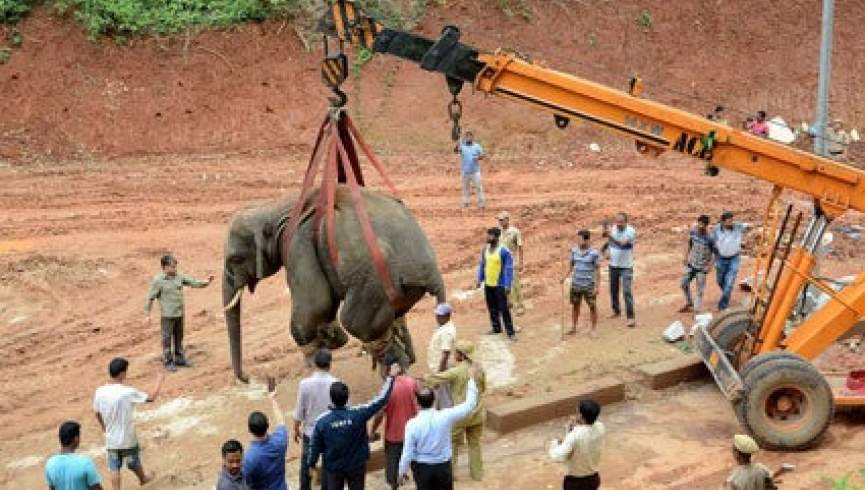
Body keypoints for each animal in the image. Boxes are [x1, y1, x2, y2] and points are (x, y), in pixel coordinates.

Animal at [223, 186, 446, 380]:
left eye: (235, 259)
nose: (247, 378)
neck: (274, 206)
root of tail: (434, 276)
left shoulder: (297, 243)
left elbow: (315, 306)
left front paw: (326, 345)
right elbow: (324, 306)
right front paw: (333, 339)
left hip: (374, 285)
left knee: (355, 322)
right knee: (393, 322)